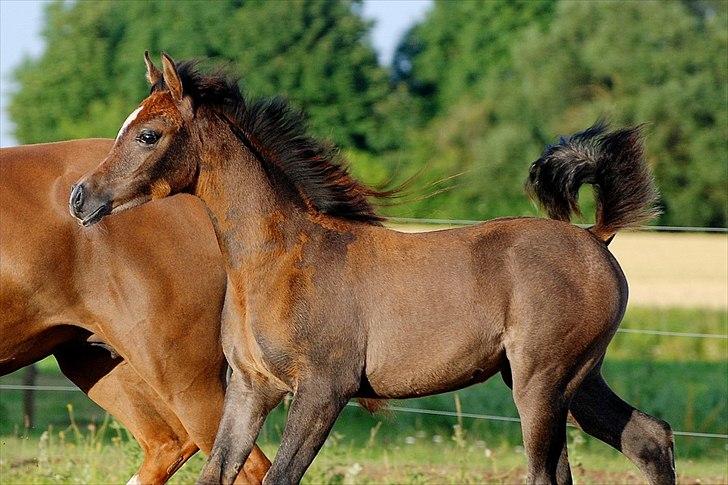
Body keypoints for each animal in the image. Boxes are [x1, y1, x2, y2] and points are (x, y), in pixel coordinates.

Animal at [71, 54, 672, 484]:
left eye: (148, 134)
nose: (81, 198)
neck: (281, 258)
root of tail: (594, 236)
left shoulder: (323, 388)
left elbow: (280, 477)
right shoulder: (250, 389)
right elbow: (219, 473)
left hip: (541, 382)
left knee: (554, 471)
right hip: (575, 379)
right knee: (649, 437)